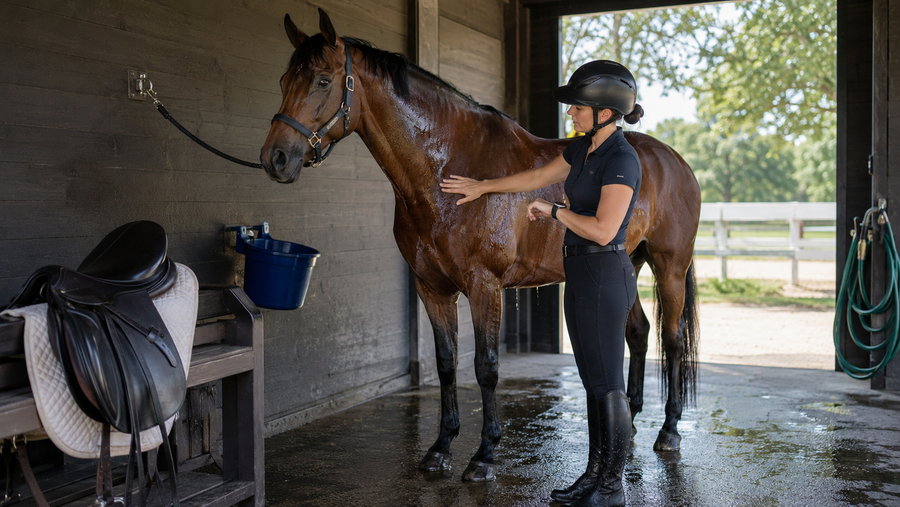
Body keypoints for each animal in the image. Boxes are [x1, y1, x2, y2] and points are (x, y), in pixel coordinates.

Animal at [260, 8, 701, 482]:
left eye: (323, 81)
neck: (447, 170)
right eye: (283, 80)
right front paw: (440, 448)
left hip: (669, 268)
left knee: (672, 341)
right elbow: (446, 363)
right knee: (637, 332)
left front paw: (484, 454)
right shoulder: (431, 288)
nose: (275, 159)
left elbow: (486, 367)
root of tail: (674, 160)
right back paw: (631, 422)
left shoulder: (484, 286)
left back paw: (669, 431)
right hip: (627, 265)